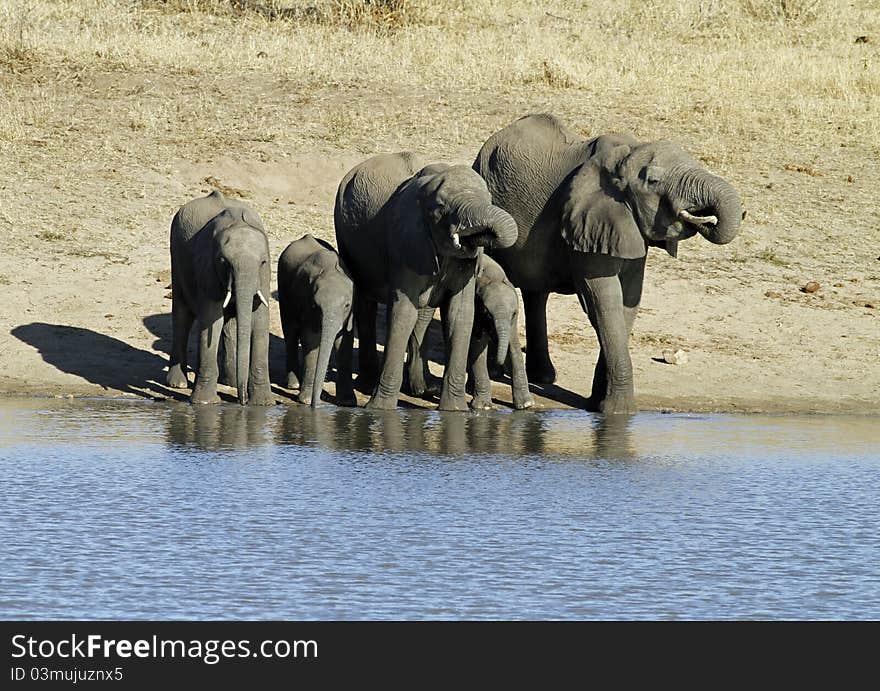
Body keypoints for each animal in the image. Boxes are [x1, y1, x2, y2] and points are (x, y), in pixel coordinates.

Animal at [167, 189, 274, 406]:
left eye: (263, 262)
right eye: (223, 262)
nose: (242, 401)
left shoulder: (264, 277)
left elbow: (260, 321)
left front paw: (263, 404)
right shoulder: (207, 268)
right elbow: (211, 320)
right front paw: (204, 403)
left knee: (229, 323)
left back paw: (230, 382)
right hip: (177, 258)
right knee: (182, 316)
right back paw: (178, 384)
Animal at [276, 235, 356, 408]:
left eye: (347, 305)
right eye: (315, 305)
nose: (317, 404)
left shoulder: (351, 313)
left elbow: (345, 341)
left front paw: (348, 402)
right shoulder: (306, 301)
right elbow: (311, 340)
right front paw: (305, 401)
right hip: (284, 289)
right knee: (290, 332)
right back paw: (293, 385)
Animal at [336, 154, 516, 410]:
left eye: (488, 199)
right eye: (440, 208)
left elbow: (460, 314)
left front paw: (454, 411)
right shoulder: (406, 242)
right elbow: (403, 312)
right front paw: (379, 410)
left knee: (422, 314)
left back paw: (423, 388)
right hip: (345, 236)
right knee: (366, 301)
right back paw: (369, 384)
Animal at [408, 254, 536, 410]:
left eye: (514, 314)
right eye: (487, 314)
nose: (498, 363)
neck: (494, 278)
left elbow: (513, 345)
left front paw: (526, 405)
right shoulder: (476, 306)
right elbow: (477, 343)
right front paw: (483, 407)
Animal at [474, 114, 744, 414]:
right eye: (653, 180)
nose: (707, 218)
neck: (626, 156)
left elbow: (629, 301)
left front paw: (598, 405)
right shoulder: (587, 221)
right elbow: (604, 300)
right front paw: (618, 412)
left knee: (536, 293)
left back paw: (543, 377)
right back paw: (500, 372)